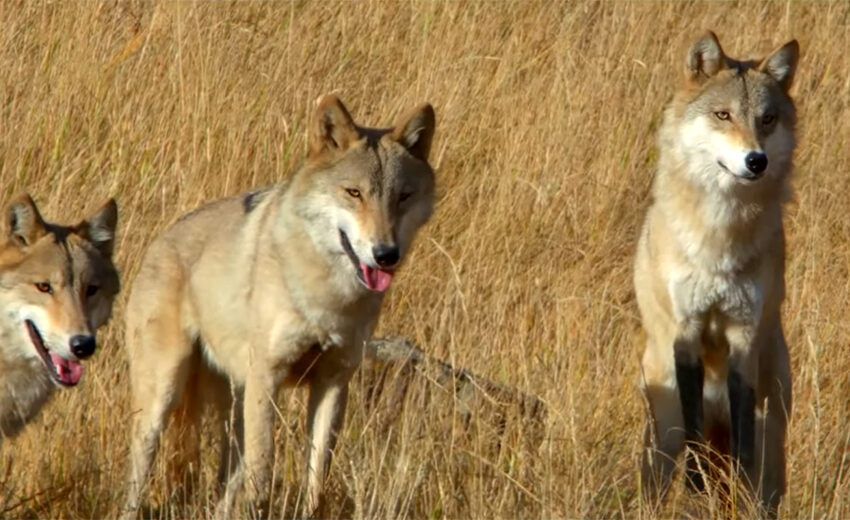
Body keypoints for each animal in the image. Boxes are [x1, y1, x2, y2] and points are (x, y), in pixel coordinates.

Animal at [121, 95, 436, 519]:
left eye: (402, 196)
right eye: (354, 193)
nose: (386, 254)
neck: (327, 298)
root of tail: (160, 239)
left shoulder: (333, 383)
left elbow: (316, 477)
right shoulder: (267, 377)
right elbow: (262, 474)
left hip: (233, 405)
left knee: (224, 486)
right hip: (162, 400)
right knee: (139, 474)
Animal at [634, 31, 799, 516]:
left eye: (766, 120)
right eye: (723, 115)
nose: (756, 160)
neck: (719, 240)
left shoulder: (743, 334)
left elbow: (742, 447)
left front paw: (732, 487)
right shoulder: (685, 332)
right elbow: (694, 441)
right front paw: (696, 488)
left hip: (772, 433)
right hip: (662, 432)